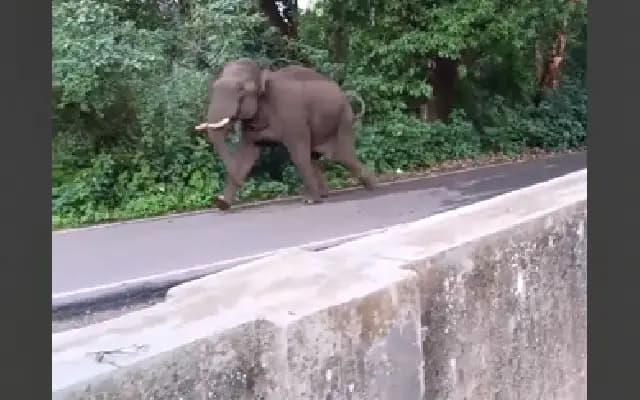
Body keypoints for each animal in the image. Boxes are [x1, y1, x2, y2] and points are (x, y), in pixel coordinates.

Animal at [196, 58, 376, 211]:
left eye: (240, 89)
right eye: (213, 87)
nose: (243, 185)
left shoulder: (292, 116)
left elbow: (298, 154)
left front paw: (310, 201)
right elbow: (246, 157)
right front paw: (222, 204)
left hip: (341, 120)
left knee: (341, 156)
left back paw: (372, 186)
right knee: (316, 157)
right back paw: (326, 194)